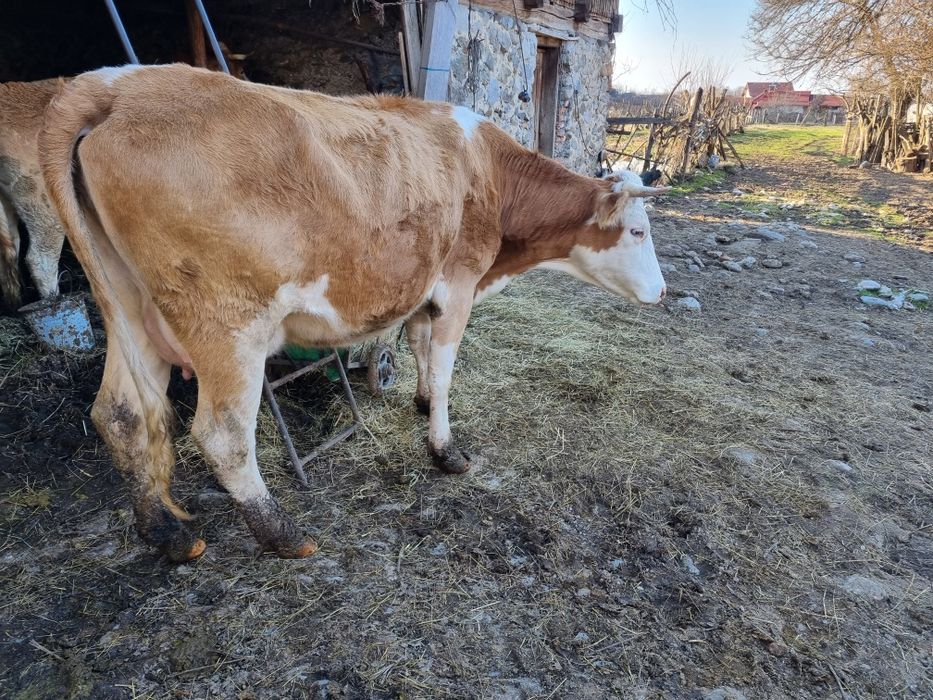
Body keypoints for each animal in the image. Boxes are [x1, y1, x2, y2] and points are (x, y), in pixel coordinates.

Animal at [39, 64, 667, 562]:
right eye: (638, 231)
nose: (662, 293)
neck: (489, 170)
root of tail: (116, 84)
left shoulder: (424, 287)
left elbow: (417, 345)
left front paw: (418, 403)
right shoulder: (459, 282)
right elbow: (444, 370)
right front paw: (445, 451)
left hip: (129, 309)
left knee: (121, 413)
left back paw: (166, 533)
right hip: (227, 325)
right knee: (222, 433)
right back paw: (281, 533)